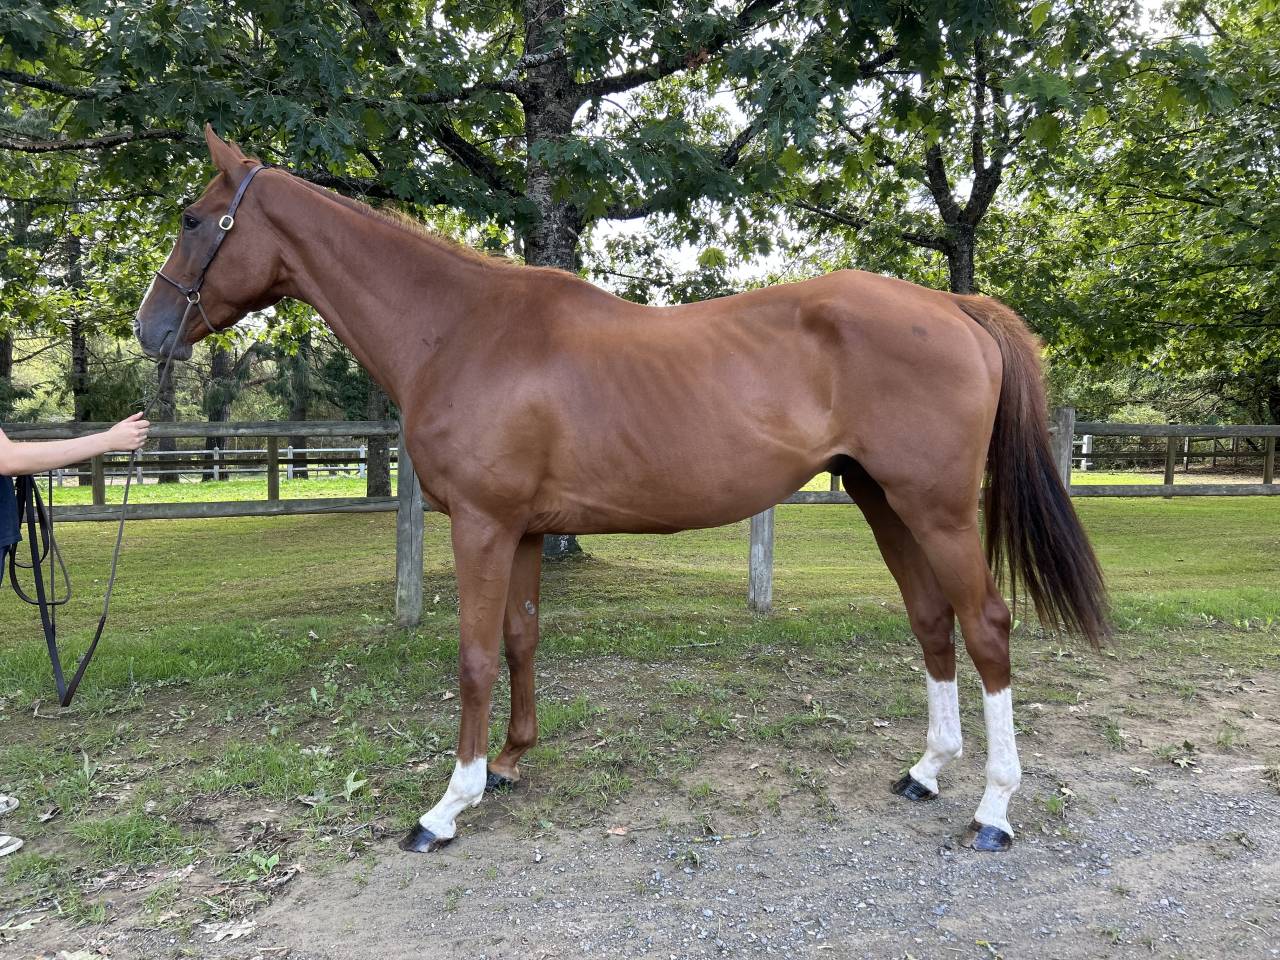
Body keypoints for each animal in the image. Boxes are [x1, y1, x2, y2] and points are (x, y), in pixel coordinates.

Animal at [135, 125, 1107, 855]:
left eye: (194, 218)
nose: (149, 330)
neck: (459, 329)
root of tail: (955, 309)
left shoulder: (481, 526)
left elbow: (475, 658)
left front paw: (448, 806)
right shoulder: (522, 531)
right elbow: (521, 641)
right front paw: (509, 765)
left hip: (935, 508)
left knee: (986, 627)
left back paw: (993, 810)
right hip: (883, 499)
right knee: (931, 621)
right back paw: (925, 772)